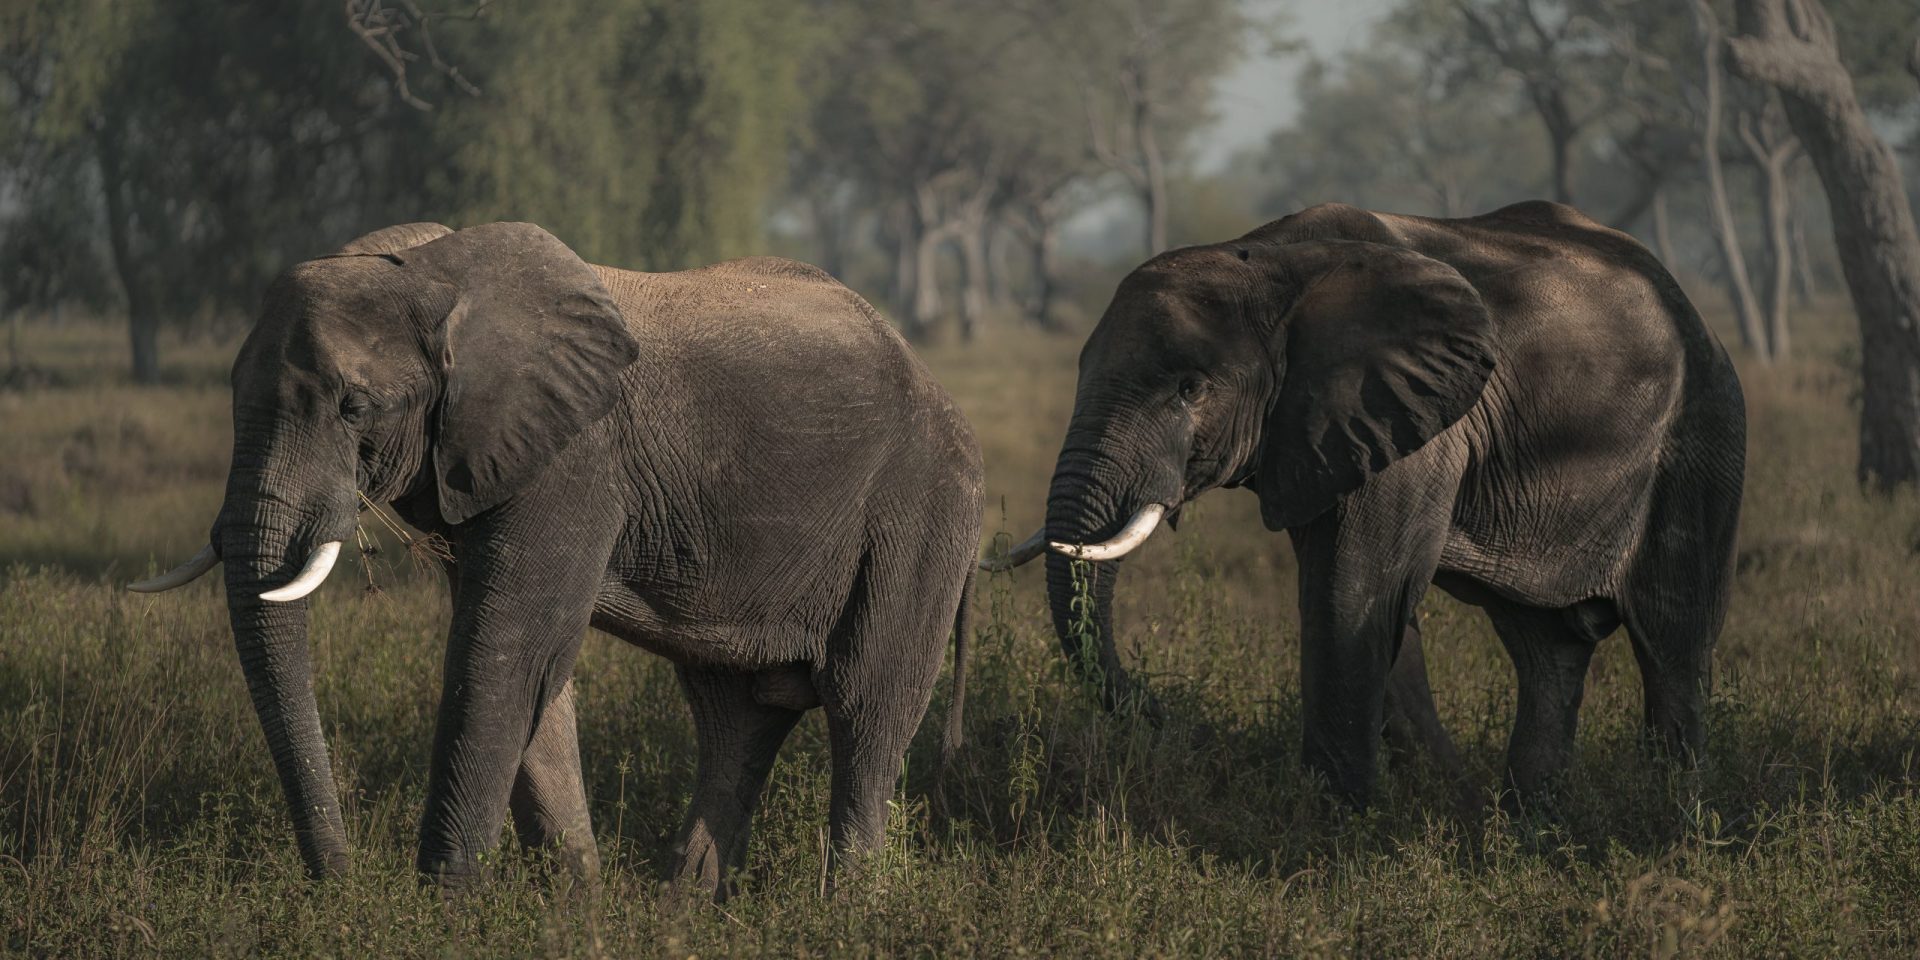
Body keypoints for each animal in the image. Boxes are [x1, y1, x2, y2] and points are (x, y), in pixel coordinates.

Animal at [129, 221, 983, 894]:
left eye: (354, 406)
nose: (340, 888)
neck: (432, 273)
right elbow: (534, 673)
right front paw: (572, 916)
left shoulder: (573, 460)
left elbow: (504, 651)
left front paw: (443, 914)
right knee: (736, 718)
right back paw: (681, 917)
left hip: (922, 512)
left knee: (867, 708)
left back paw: (847, 911)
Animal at [986, 200, 1745, 810]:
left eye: (1190, 389)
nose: (1178, 722)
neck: (1268, 261)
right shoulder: (1317, 433)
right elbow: (1366, 601)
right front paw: (1421, 803)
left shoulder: (1411, 420)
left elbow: (1355, 590)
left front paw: (1335, 820)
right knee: (1547, 650)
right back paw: (1528, 821)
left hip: (1700, 434)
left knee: (1673, 638)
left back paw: (1669, 807)